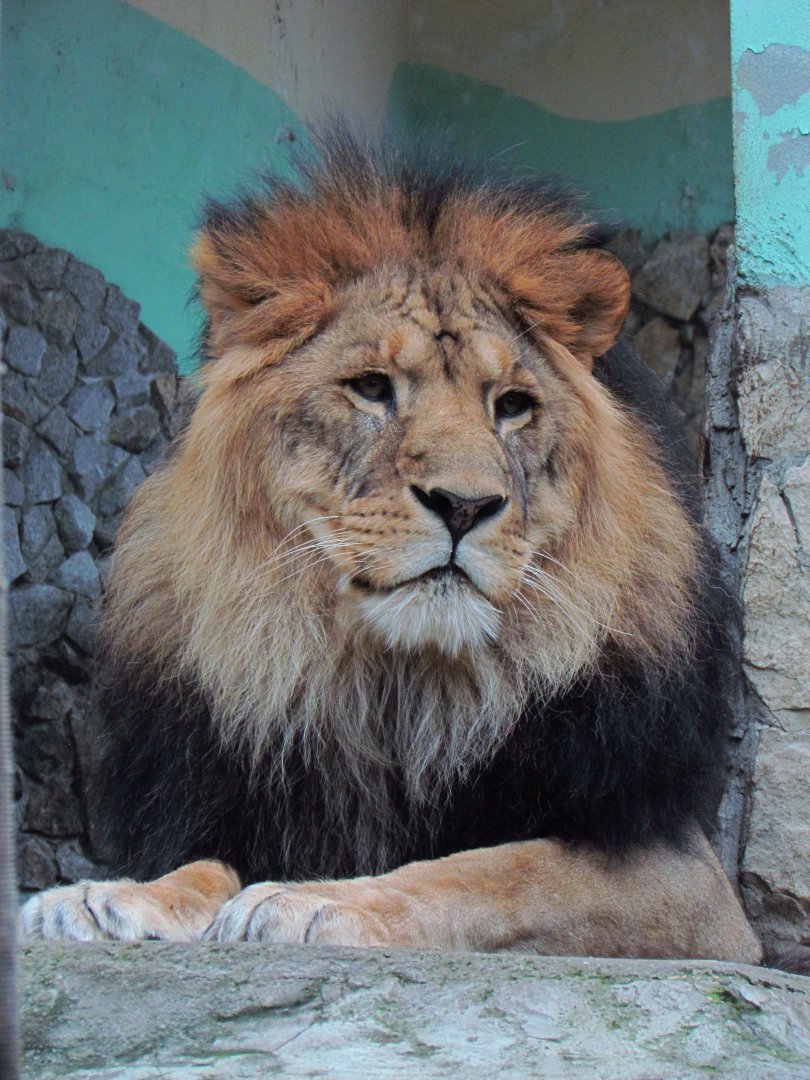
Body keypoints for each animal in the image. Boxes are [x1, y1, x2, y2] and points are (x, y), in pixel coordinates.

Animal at [22, 133, 760, 963]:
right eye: (372, 388)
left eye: (512, 406)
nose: (464, 505)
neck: (394, 692)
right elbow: (206, 863)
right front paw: (105, 897)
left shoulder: (691, 881)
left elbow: (493, 871)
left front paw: (313, 900)